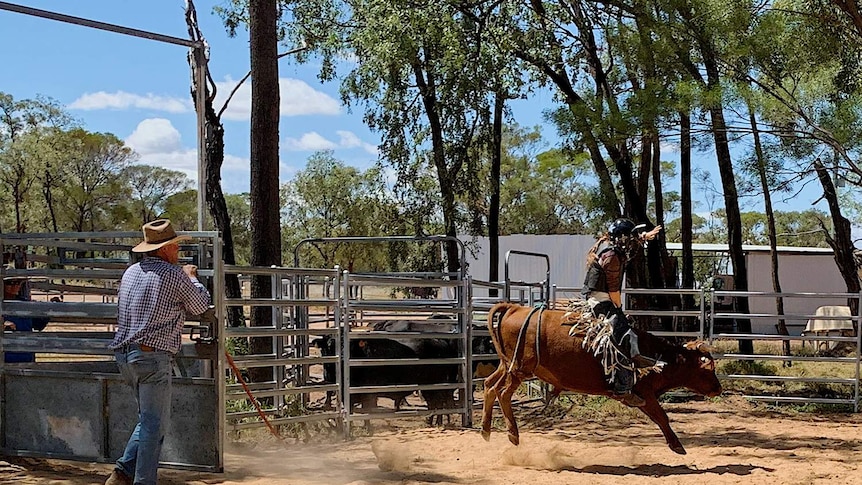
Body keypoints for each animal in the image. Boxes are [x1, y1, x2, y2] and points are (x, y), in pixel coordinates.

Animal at [482, 302, 724, 454]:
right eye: (707, 369)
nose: (718, 388)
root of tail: (515, 308)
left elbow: (659, 417)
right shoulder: (644, 393)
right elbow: (662, 417)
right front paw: (677, 445)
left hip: (507, 365)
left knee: (488, 385)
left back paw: (486, 430)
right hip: (519, 369)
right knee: (502, 392)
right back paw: (513, 434)